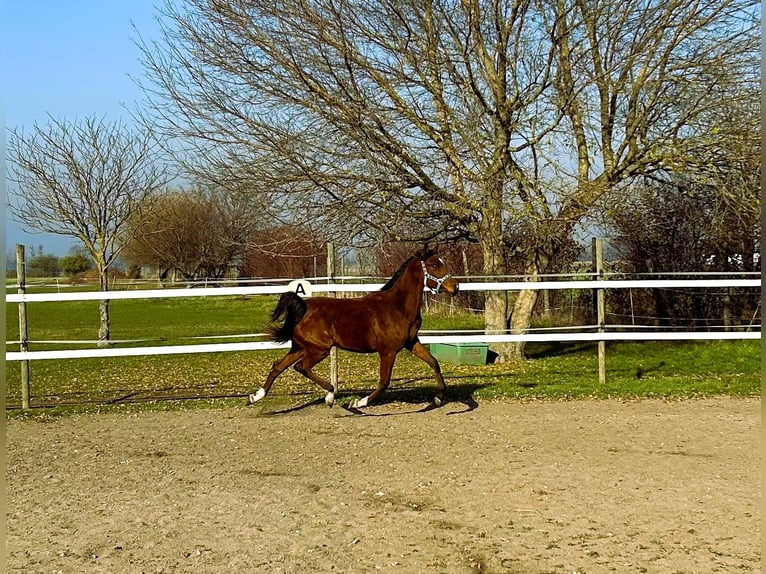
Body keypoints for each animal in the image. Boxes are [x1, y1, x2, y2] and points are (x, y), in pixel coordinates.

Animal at [249, 251, 460, 410]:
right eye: (434, 265)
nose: (455, 287)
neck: (398, 307)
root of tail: (302, 307)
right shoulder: (388, 351)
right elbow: (384, 381)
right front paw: (358, 403)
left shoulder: (411, 342)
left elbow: (434, 363)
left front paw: (439, 398)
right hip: (318, 349)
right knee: (301, 367)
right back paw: (330, 394)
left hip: (301, 347)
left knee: (278, 365)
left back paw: (256, 396)